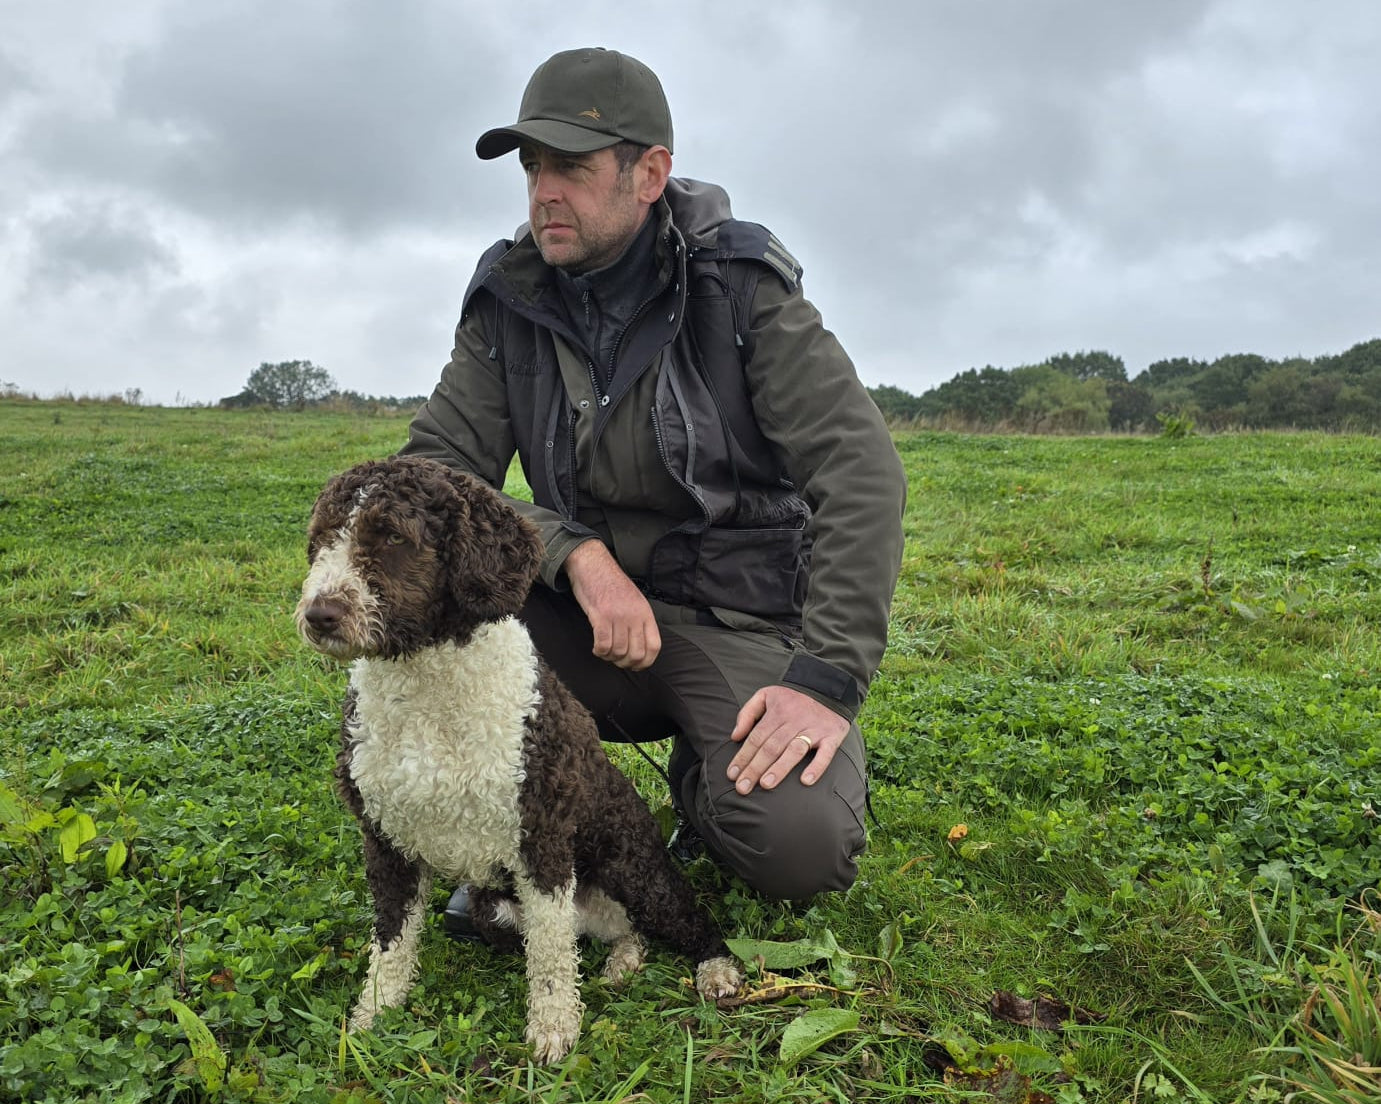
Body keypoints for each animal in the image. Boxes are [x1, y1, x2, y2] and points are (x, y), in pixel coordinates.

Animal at [294, 455, 745, 1061]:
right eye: (320, 540)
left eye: (392, 536)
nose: (319, 613)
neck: (426, 689)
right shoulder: (385, 839)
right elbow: (391, 941)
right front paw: (374, 1017)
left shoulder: (541, 837)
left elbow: (550, 956)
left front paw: (554, 1028)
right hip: (493, 907)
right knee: (616, 932)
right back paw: (624, 959)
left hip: (632, 867)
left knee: (683, 916)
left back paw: (715, 967)